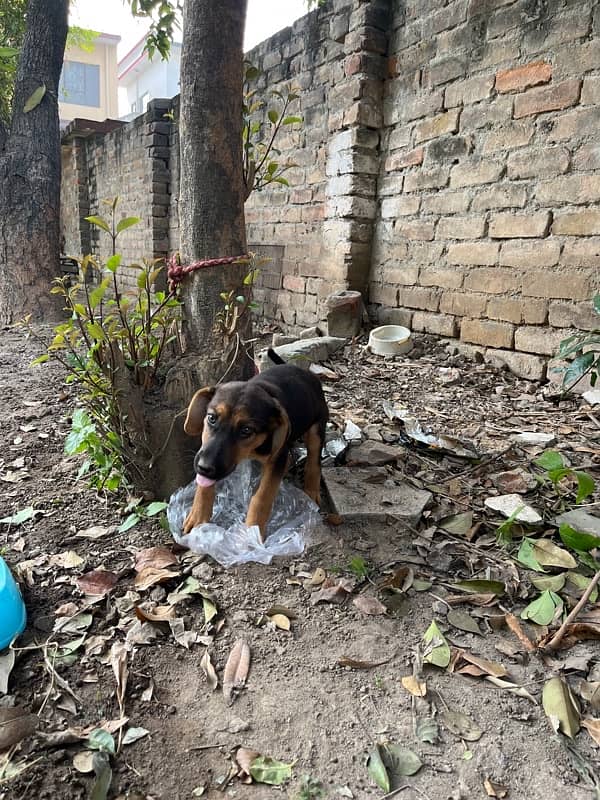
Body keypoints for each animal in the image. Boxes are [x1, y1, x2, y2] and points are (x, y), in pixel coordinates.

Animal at [183, 364, 328, 544]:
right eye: (211, 418)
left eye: (246, 430)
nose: (205, 467)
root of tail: (307, 373)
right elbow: (203, 486)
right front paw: (198, 515)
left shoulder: (277, 457)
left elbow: (263, 496)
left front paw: (253, 531)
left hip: (317, 427)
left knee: (314, 460)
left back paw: (312, 490)